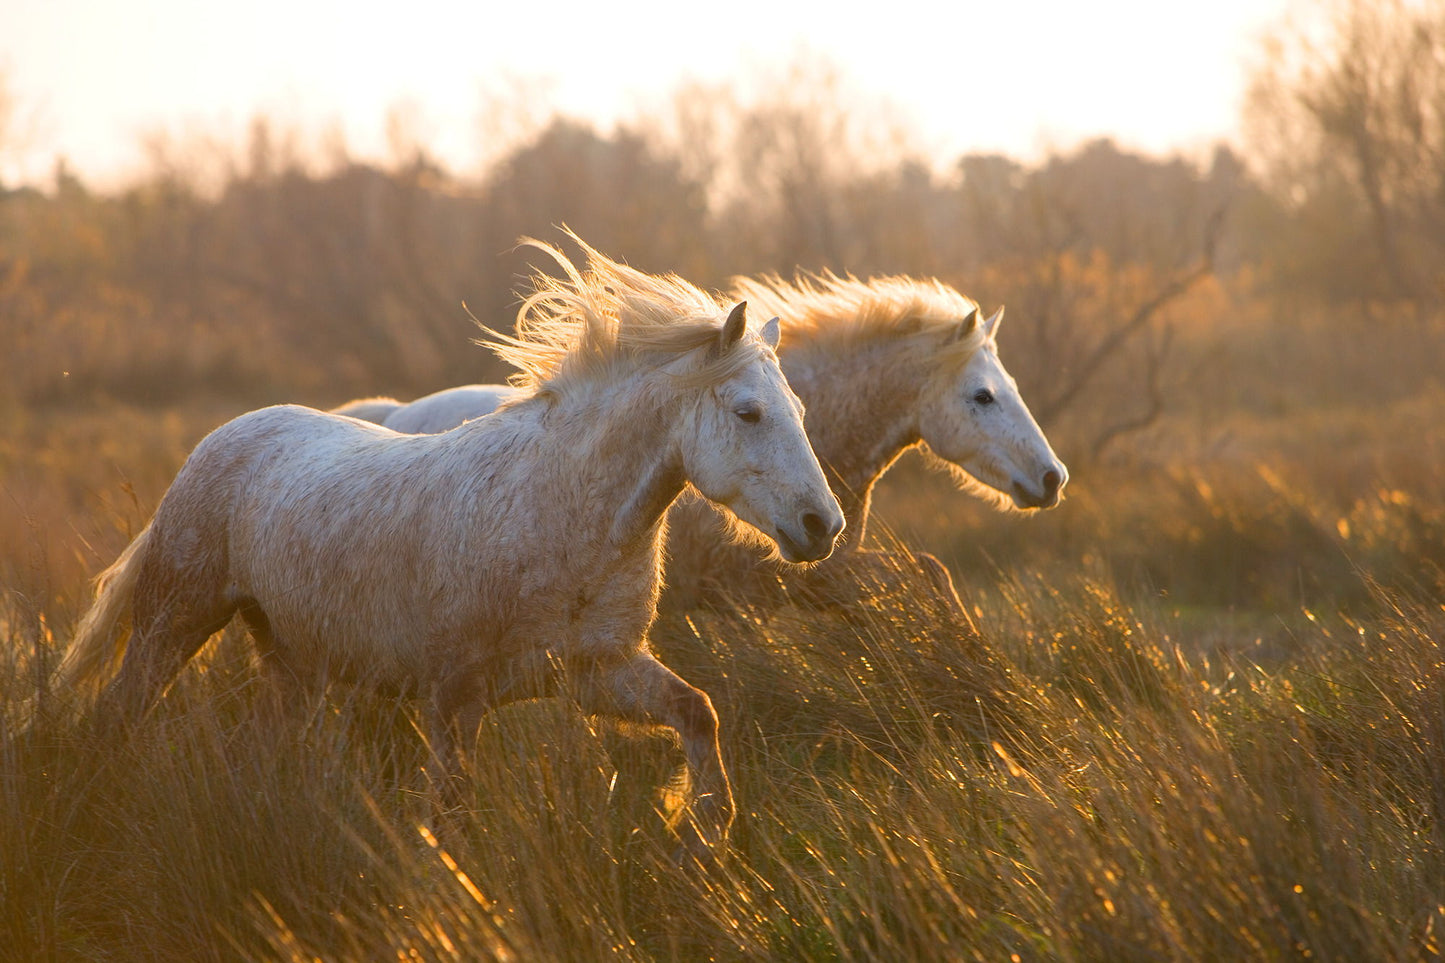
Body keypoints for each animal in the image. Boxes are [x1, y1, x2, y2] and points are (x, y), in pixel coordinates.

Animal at [59, 238, 843, 850]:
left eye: (800, 410)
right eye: (748, 412)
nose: (821, 526)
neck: (560, 513)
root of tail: (219, 440)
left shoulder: (599, 672)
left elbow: (698, 713)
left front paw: (704, 834)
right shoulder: (455, 698)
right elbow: (452, 820)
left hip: (289, 660)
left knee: (248, 753)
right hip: (175, 621)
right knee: (115, 715)